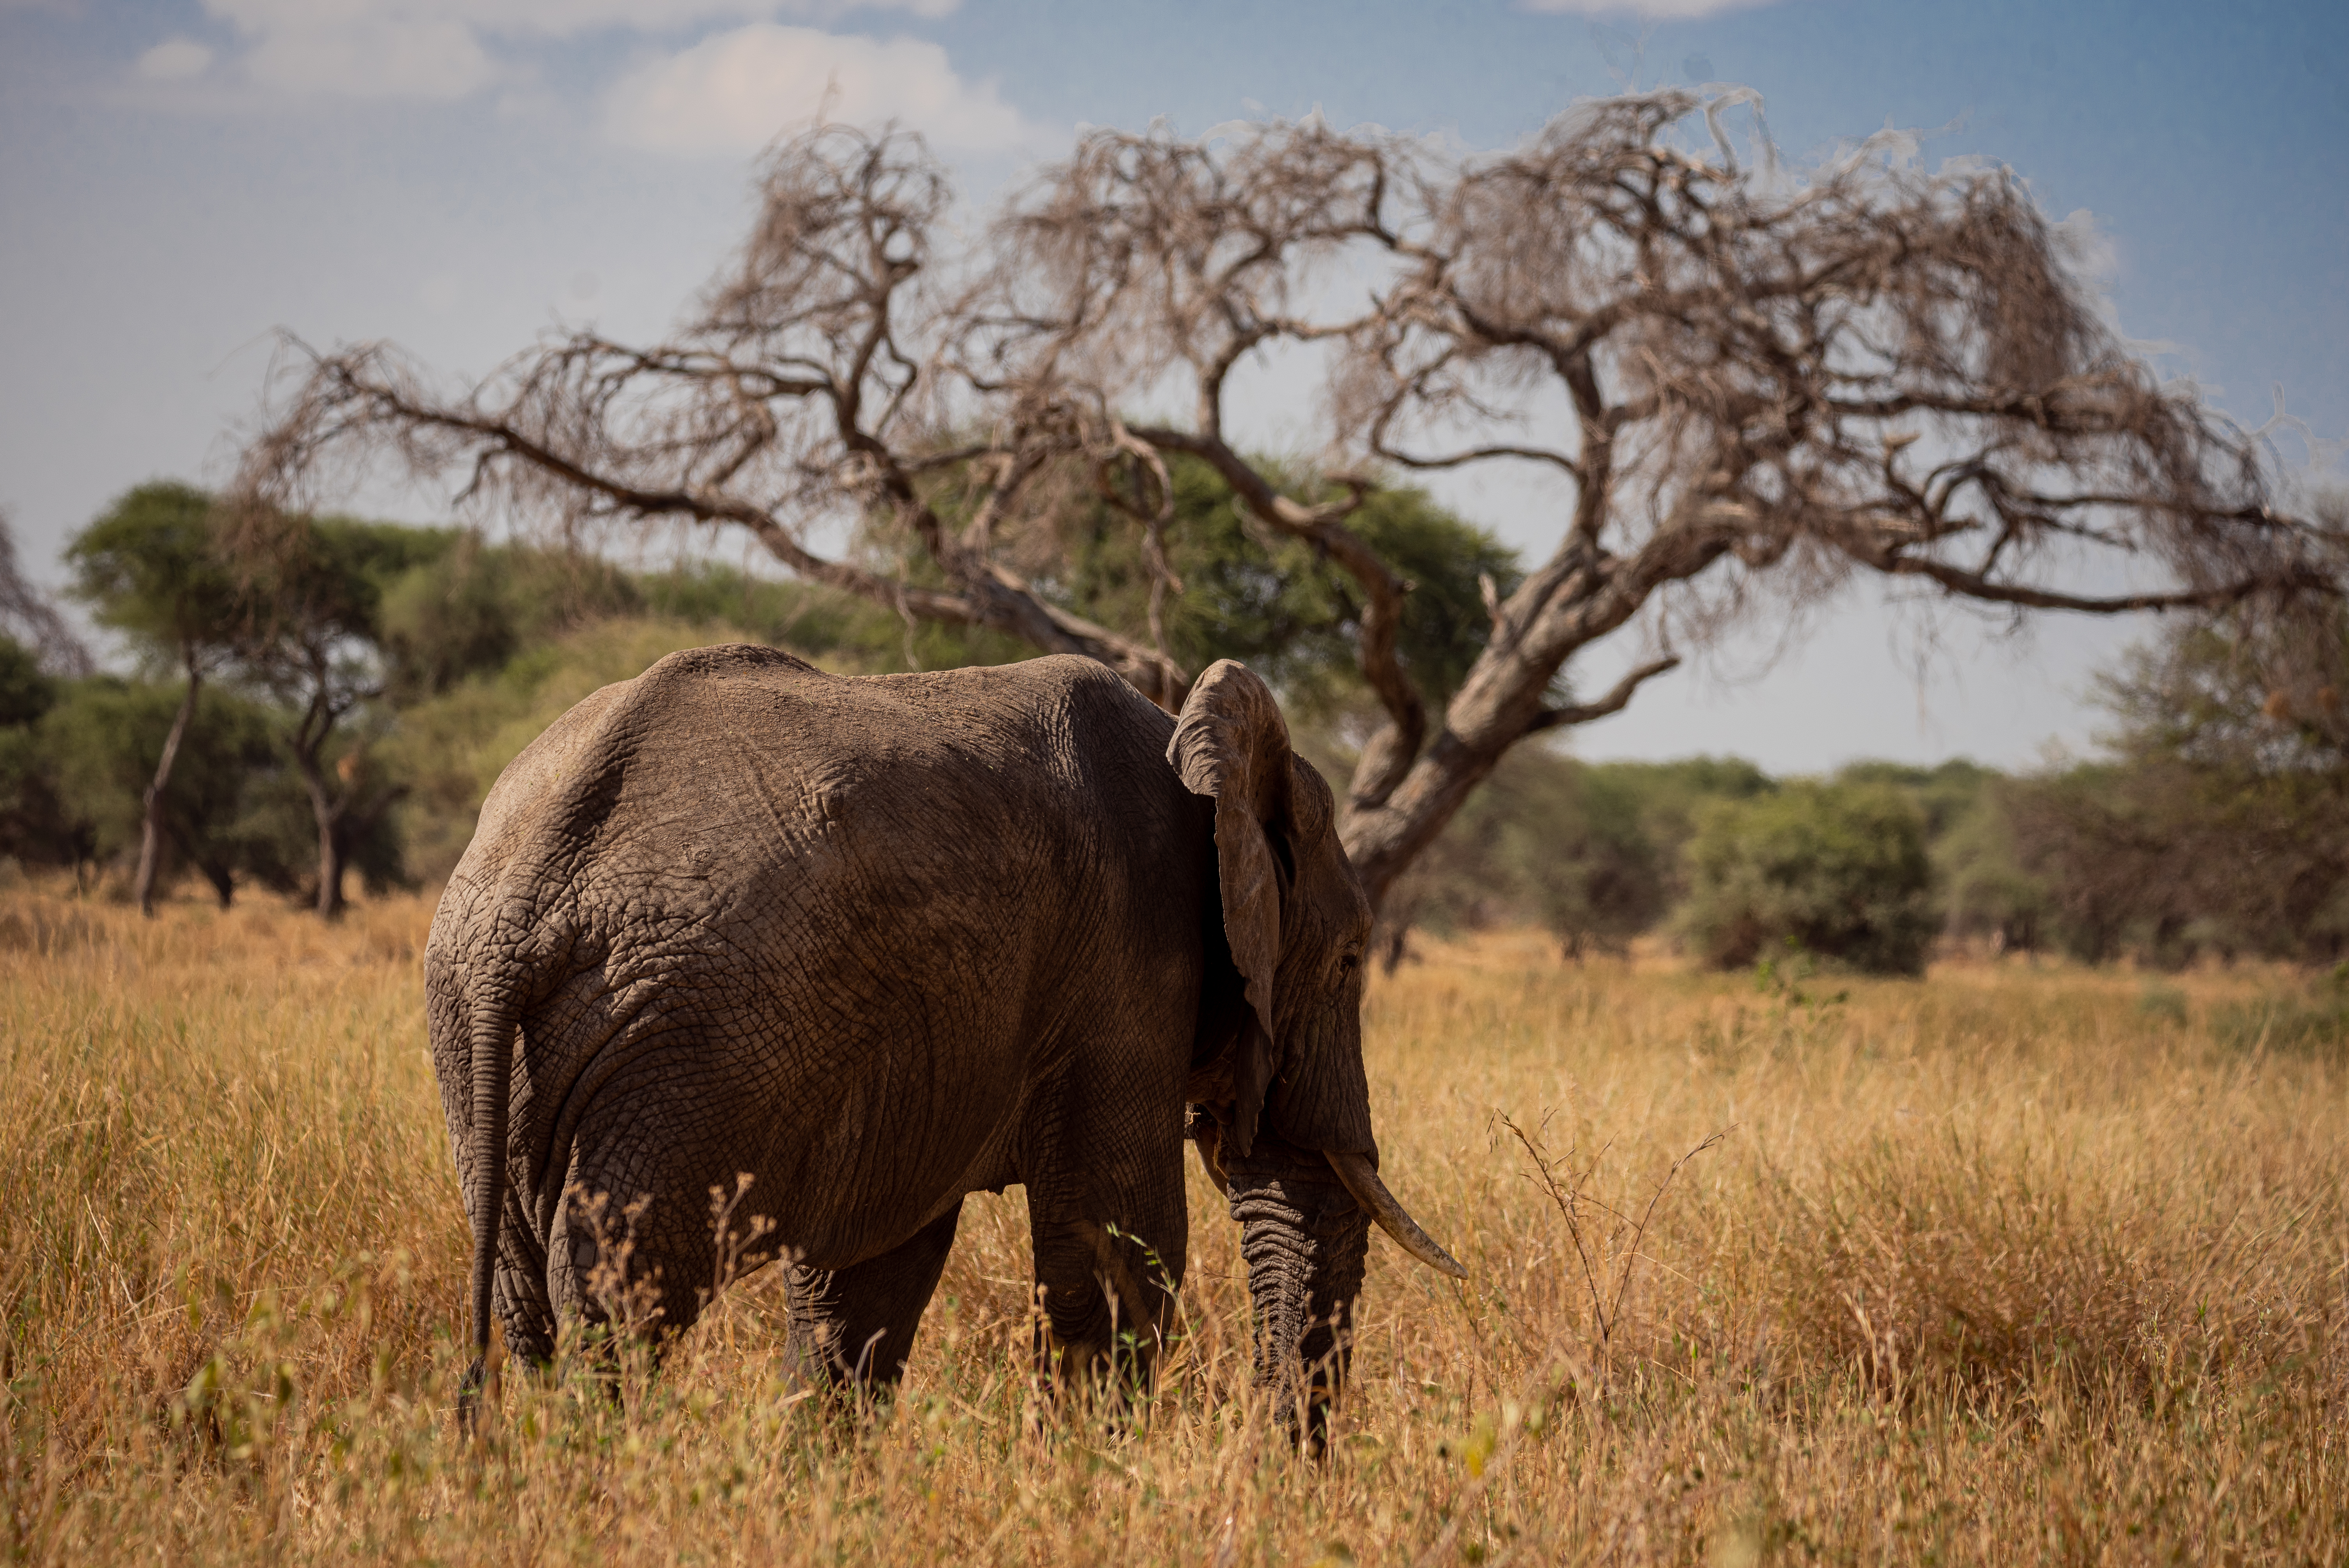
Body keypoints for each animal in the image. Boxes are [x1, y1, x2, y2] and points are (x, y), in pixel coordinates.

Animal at [428, 644, 1462, 1423]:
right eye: (1351, 959)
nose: (1267, 1461)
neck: (1202, 754)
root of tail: (529, 887)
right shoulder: (1129, 964)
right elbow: (1119, 1254)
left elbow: (866, 1285)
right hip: (687, 1046)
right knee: (619, 1298)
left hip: (499, 1042)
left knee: (530, 1302)